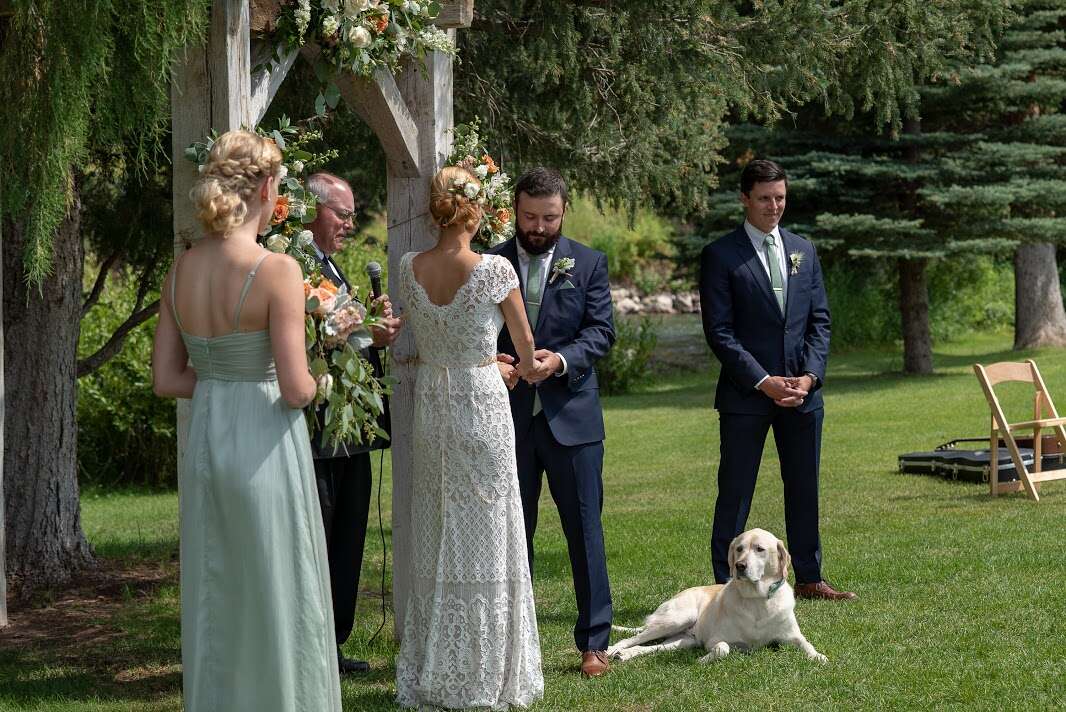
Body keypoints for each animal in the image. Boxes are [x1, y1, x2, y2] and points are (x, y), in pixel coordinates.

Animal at [609, 526, 822, 665]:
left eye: (760, 549)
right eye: (739, 548)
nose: (740, 566)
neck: (757, 600)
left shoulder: (792, 635)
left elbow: (807, 643)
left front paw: (818, 656)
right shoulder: (715, 640)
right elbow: (723, 649)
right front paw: (703, 659)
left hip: (683, 640)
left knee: (650, 648)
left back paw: (624, 655)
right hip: (677, 618)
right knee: (628, 640)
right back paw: (611, 650)